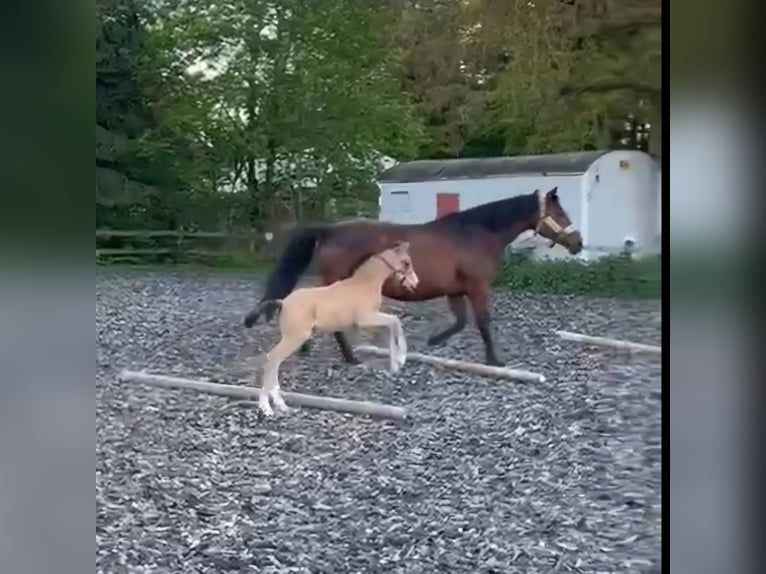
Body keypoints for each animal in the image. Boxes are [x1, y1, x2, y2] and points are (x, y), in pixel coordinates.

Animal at [244, 187, 582, 366]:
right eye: (561, 214)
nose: (578, 243)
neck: (477, 234)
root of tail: (329, 230)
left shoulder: (456, 290)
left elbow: (460, 322)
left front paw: (434, 341)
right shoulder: (477, 287)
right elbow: (483, 322)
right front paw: (494, 360)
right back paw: (349, 357)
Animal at [248, 241, 419, 417]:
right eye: (406, 262)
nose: (415, 283)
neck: (364, 284)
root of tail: (282, 303)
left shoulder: (372, 318)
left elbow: (392, 327)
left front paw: (395, 365)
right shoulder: (365, 319)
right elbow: (395, 322)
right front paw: (401, 359)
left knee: (274, 362)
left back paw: (281, 405)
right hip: (295, 337)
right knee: (272, 359)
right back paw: (266, 408)